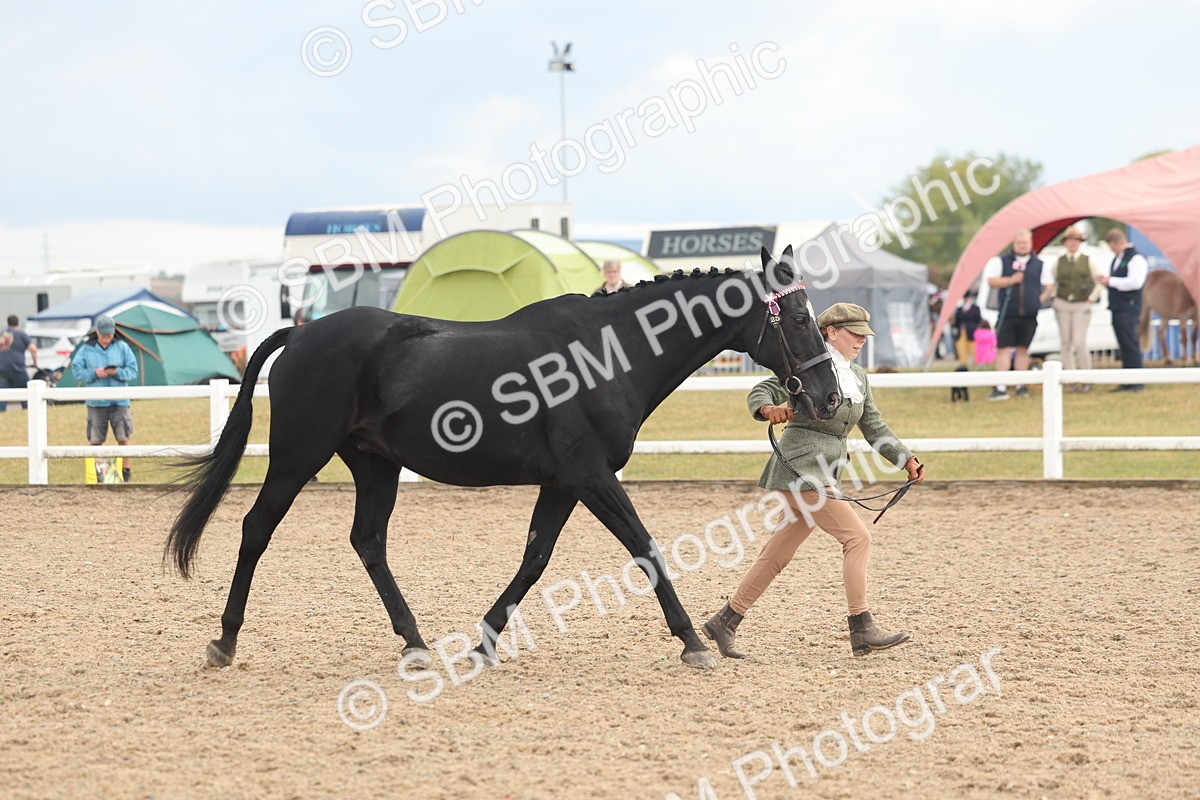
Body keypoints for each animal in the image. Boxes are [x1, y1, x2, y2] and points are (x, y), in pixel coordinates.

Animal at [166, 246, 843, 671]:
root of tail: (302, 331)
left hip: (376, 466)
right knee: (257, 528)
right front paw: (692, 643)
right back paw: (224, 641)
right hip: (297, 455)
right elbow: (644, 547)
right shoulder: (591, 476)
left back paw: (415, 643)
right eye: (798, 318)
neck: (609, 353)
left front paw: (485, 642)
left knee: (368, 541)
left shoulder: (565, 483)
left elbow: (536, 557)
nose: (829, 395)